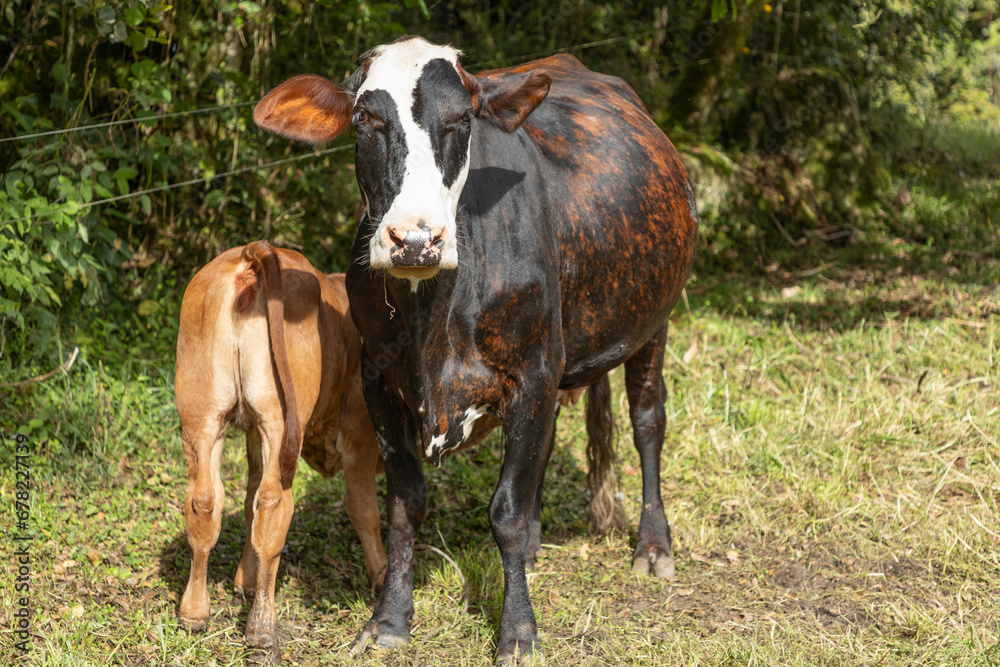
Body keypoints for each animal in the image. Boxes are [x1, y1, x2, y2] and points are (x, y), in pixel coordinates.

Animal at [174, 241, 388, 664]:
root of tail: (250, 254)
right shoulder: (360, 435)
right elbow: (364, 510)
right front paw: (381, 575)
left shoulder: (253, 431)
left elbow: (247, 496)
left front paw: (245, 580)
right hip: (280, 420)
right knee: (274, 504)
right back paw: (262, 630)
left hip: (202, 417)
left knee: (206, 501)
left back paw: (194, 612)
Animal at [254, 37, 700, 667]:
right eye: (365, 120)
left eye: (461, 120)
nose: (416, 240)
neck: (433, 319)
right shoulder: (379, 380)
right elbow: (406, 503)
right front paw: (390, 618)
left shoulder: (532, 373)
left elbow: (505, 511)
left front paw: (517, 630)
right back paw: (537, 547)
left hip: (652, 322)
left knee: (647, 421)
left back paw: (653, 545)